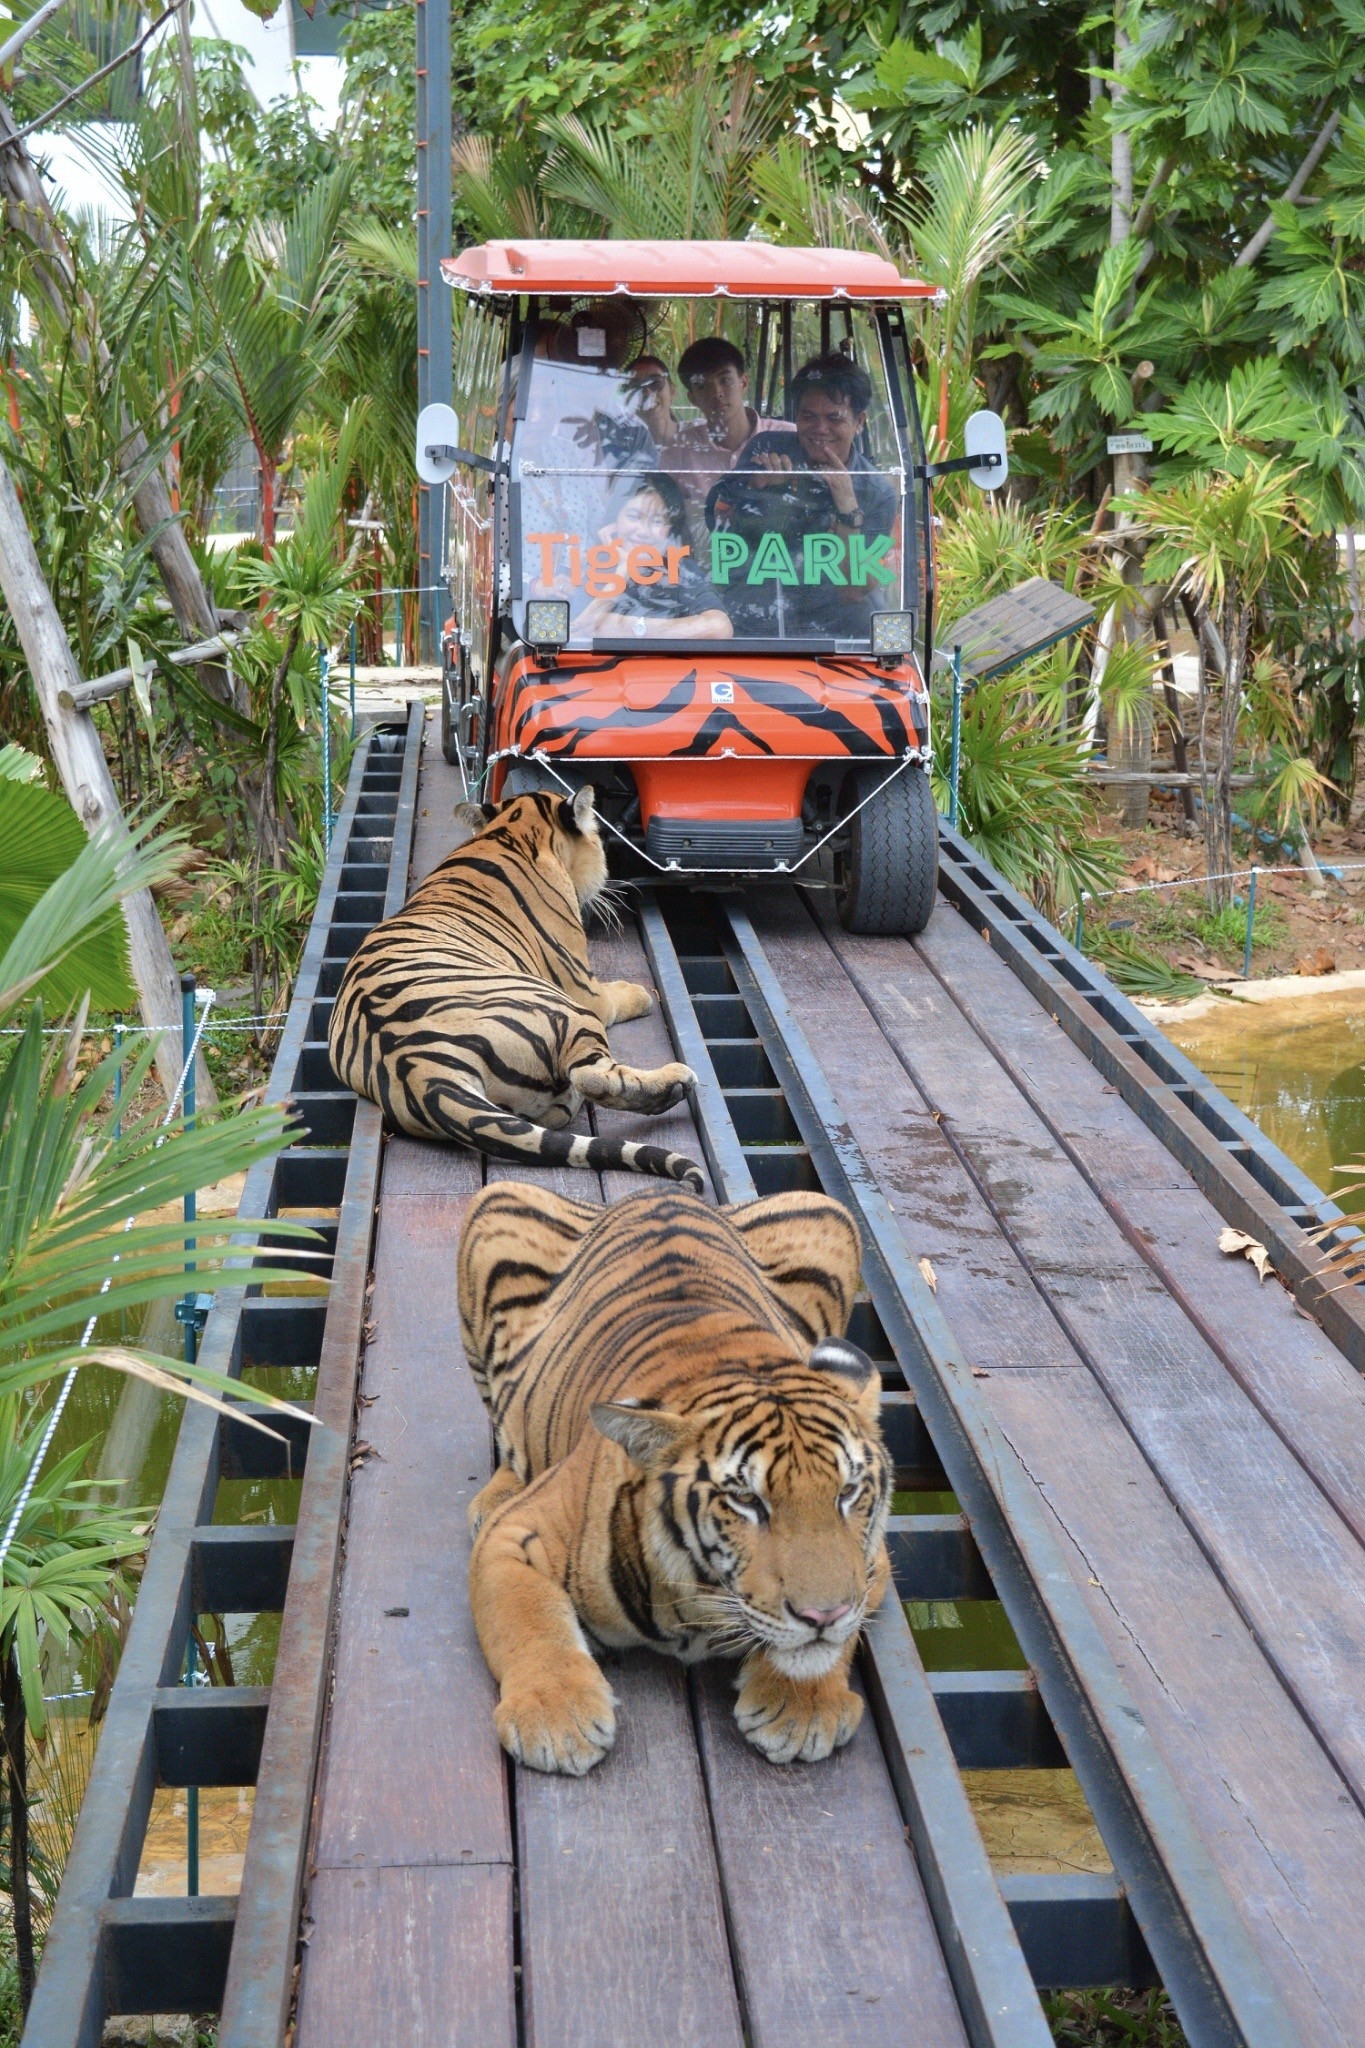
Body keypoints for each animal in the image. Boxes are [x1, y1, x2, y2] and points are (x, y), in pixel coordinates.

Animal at [328, 783, 704, 1187]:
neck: (512, 828)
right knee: (593, 1078)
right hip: (569, 1012)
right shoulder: (584, 988)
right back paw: (674, 1082)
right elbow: (616, 999)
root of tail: (420, 1069)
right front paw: (641, 995)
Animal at [458, 1181, 891, 1776]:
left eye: (847, 1493)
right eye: (746, 1500)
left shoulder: (873, 1562)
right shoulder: (517, 1534)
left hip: (827, 1213)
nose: (823, 1614)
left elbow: (837, 1636)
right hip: (491, 1206)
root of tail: (657, 1191)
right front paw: (558, 1718)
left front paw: (800, 1710)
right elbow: (529, 1621)